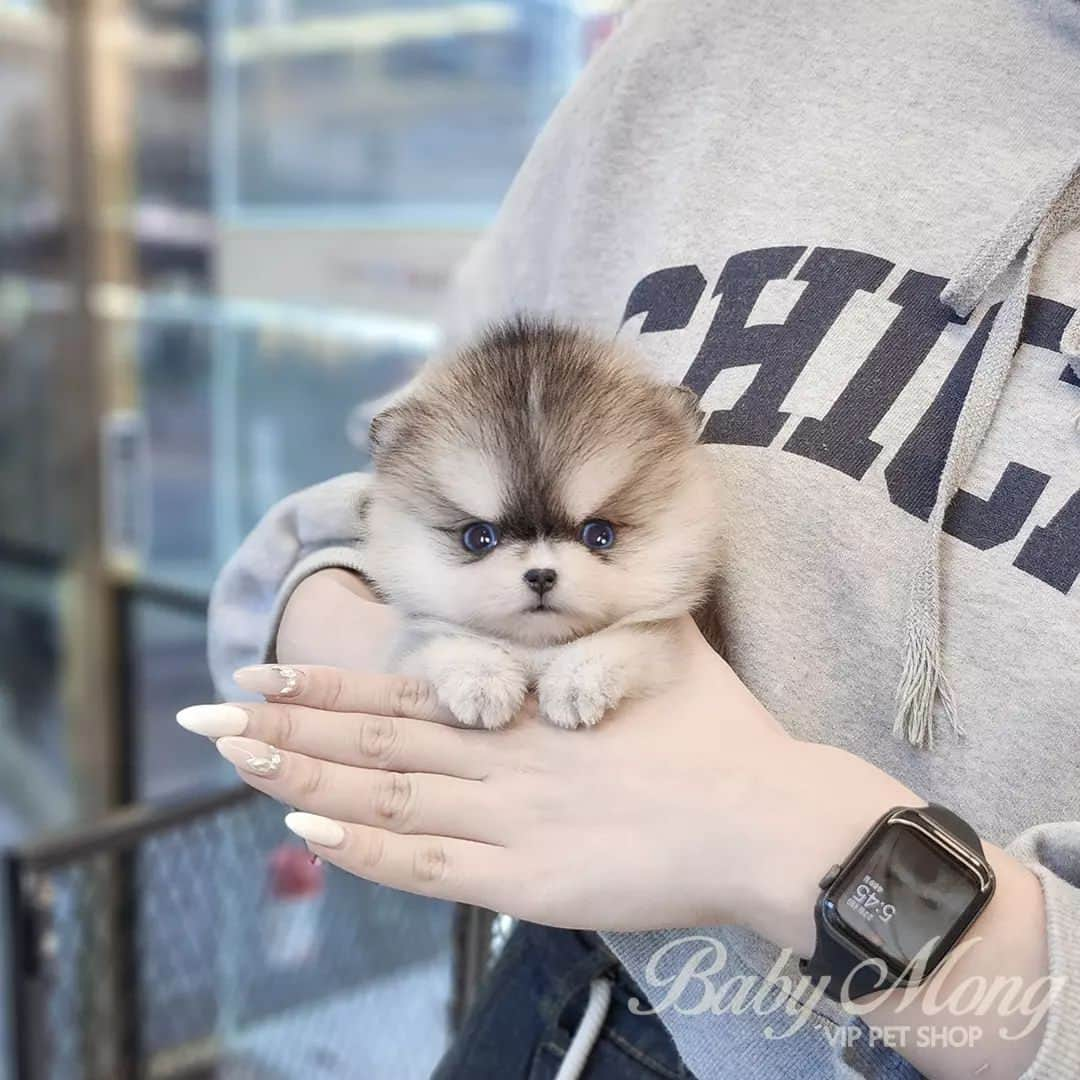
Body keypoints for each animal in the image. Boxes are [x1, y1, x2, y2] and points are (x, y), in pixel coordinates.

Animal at [362, 315, 725, 730]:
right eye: (479, 537)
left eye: (599, 535)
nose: (540, 576)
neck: (537, 650)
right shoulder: (408, 651)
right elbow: (440, 641)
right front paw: (480, 675)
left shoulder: (663, 641)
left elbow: (635, 638)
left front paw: (578, 677)